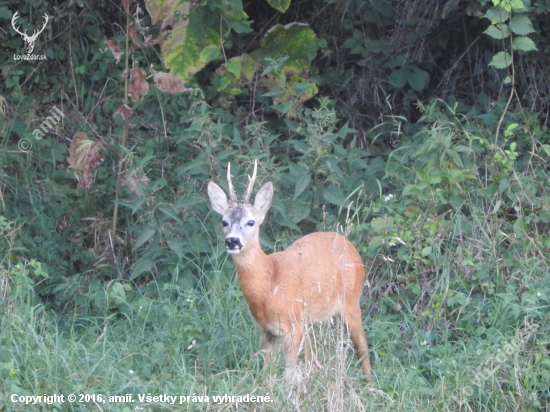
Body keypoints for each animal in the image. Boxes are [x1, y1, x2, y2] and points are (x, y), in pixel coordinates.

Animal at [208, 160, 376, 384]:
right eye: (224, 221)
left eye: (251, 222)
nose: (232, 241)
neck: (269, 282)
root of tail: (350, 245)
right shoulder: (267, 332)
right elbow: (266, 377)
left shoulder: (292, 327)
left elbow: (288, 379)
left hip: (350, 300)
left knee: (362, 345)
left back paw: (369, 384)